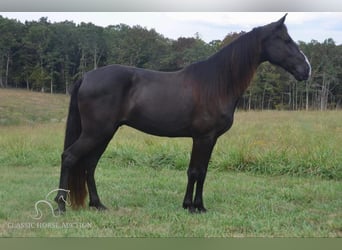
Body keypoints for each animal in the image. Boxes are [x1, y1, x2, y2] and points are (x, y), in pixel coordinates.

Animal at [55, 14, 310, 213]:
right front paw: (194, 206)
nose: (305, 69)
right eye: (285, 40)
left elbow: (200, 171)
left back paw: (97, 204)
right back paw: (60, 205)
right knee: (69, 157)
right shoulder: (203, 137)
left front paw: (195, 205)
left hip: (104, 133)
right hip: (96, 133)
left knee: (89, 164)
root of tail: (87, 76)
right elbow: (196, 171)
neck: (217, 84)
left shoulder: (209, 139)